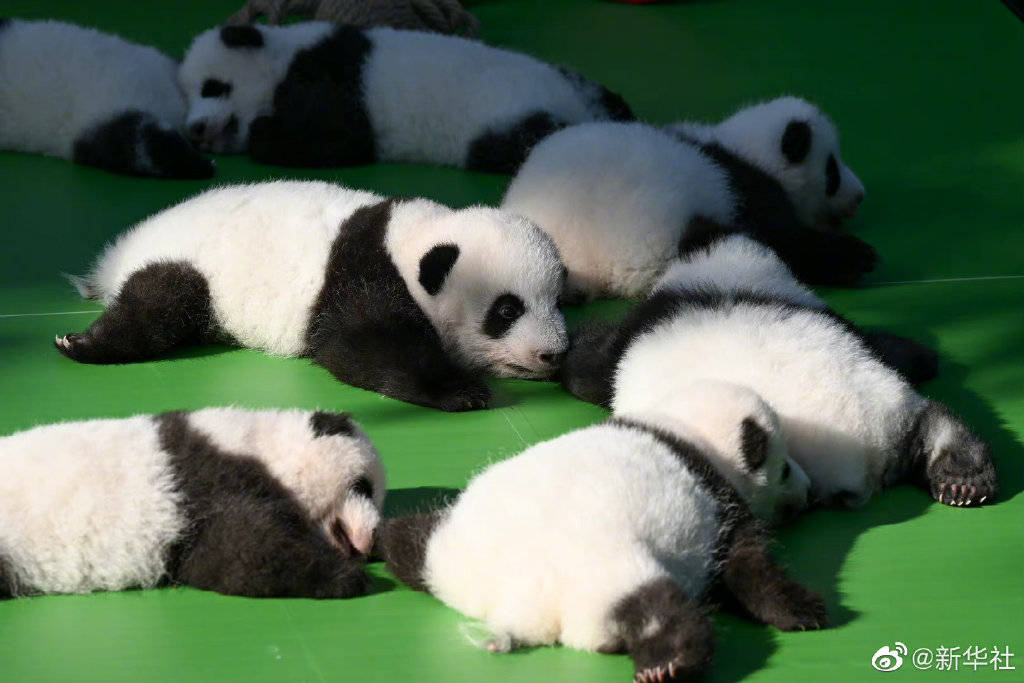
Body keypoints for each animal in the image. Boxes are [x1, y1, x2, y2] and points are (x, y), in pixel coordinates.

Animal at [54, 180, 568, 412]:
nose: (553, 354)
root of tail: (120, 252)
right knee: (160, 305)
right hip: (188, 262)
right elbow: (359, 347)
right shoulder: (363, 275)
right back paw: (82, 344)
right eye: (507, 310)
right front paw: (459, 389)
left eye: (557, 300)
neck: (413, 240)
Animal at [176, 22, 633, 172]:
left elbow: (342, 138)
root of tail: (575, 102)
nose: (194, 129)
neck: (282, 56)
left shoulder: (330, 73)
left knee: (514, 141)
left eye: (213, 86)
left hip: (505, 111)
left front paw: (263, 132)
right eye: (188, 99)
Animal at [375, 404, 824, 682]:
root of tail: (515, 610)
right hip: (602, 570)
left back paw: (383, 538)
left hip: (452, 551)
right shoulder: (718, 501)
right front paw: (801, 609)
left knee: (411, 542)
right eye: (784, 468)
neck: (681, 425)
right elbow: (748, 563)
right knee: (655, 607)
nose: (809, 491)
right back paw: (669, 663)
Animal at [501, 96, 873, 301]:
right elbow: (788, 241)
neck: (745, 150)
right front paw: (856, 256)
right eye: (832, 170)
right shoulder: (745, 191)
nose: (859, 196)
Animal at [560, 234, 997, 508]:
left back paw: (962, 479)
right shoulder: (827, 315)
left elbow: (593, 366)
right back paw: (963, 476)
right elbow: (885, 344)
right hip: (889, 400)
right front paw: (923, 356)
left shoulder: (648, 321)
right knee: (934, 422)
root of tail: (868, 457)